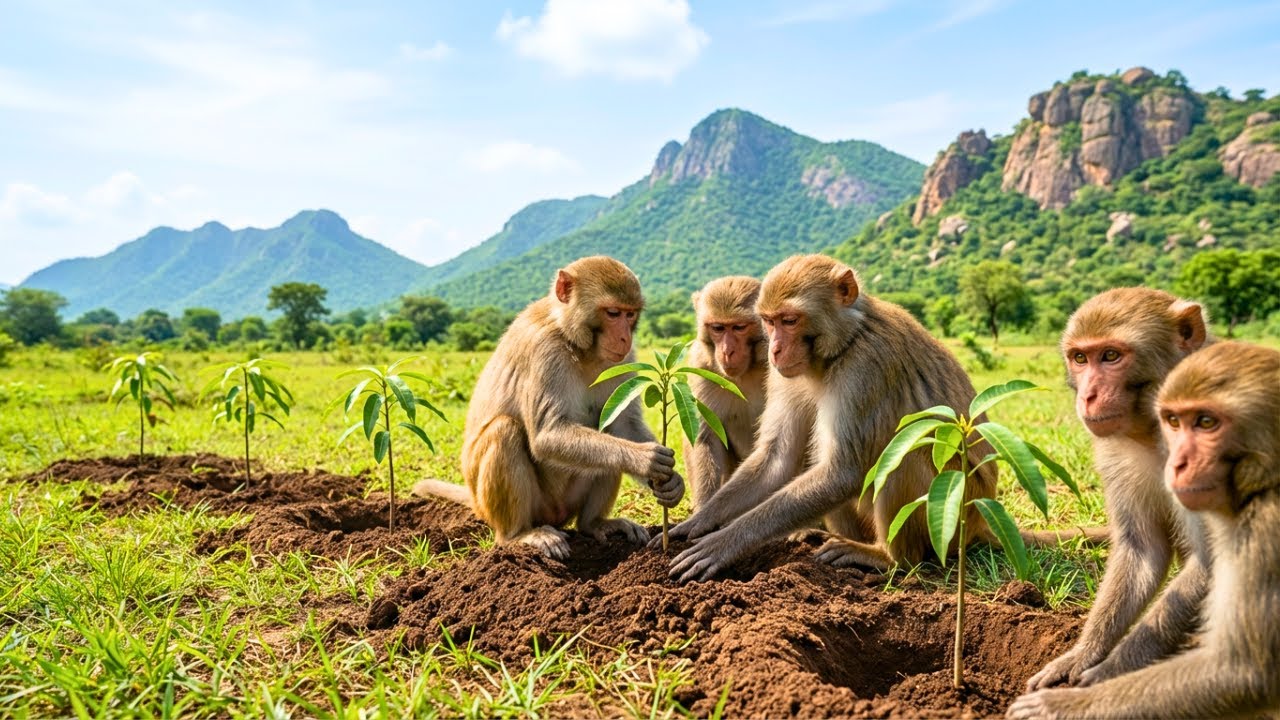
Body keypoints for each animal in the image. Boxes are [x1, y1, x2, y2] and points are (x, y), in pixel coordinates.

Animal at [413, 256, 684, 560]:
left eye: (630, 315)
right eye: (613, 313)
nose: (625, 338)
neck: (576, 343)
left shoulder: (624, 359)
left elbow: (622, 423)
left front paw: (671, 483)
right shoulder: (545, 351)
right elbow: (546, 435)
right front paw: (643, 459)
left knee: (606, 436)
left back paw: (594, 524)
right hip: (514, 505)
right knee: (505, 430)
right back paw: (518, 535)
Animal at [1024, 288, 1214, 691]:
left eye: (1111, 356)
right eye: (1080, 358)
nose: (1088, 396)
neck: (1154, 429)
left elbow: (1211, 559)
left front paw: (1112, 671)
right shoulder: (1113, 451)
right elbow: (1142, 550)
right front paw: (1083, 654)